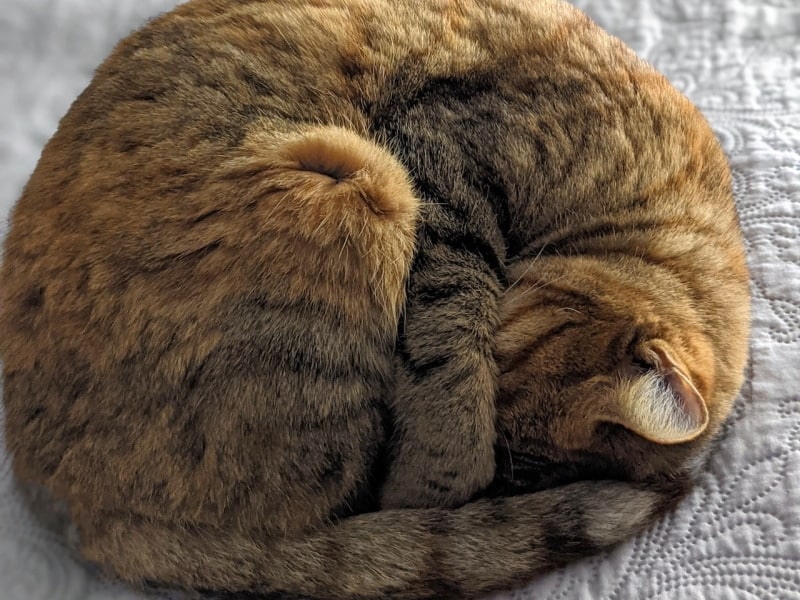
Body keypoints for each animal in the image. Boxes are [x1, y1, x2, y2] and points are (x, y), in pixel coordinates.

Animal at [0, 1, 752, 600]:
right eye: (502, 448)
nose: (490, 480)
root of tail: (65, 501)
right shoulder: (443, 173)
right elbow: (450, 364)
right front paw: (439, 481)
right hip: (361, 188)